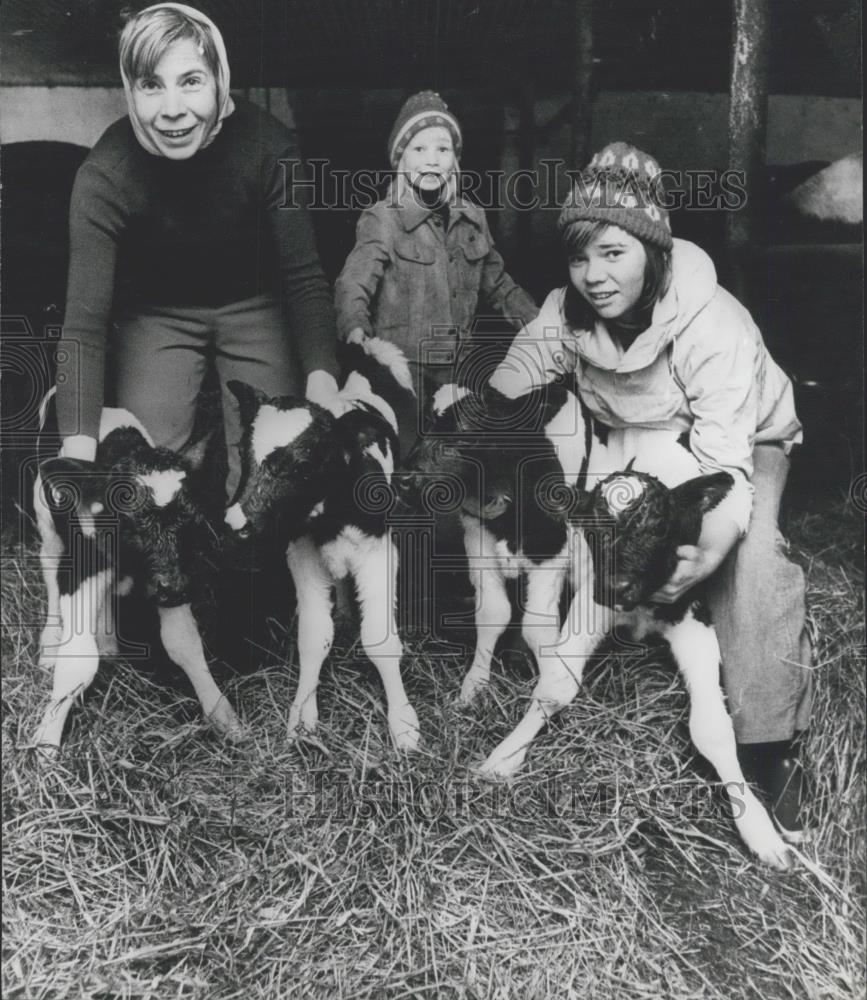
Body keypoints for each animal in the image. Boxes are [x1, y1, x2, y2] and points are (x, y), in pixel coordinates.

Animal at [32, 396, 242, 752]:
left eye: (193, 522)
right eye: (130, 520)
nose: (174, 589)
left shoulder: (170, 574)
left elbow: (184, 642)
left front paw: (221, 714)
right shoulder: (85, 562)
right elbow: (78, 661)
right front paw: (45, 743)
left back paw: (107, 640)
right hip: (45, 514)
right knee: (49, 561)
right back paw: (51, 639)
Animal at [225, 336, 422, 752]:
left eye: (303, 466)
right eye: (242, 453)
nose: (235, 521)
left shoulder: (379, 552)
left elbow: (379, 639)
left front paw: (403, 724)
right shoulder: (302, 555)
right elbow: (314, 638)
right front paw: (302, 718)